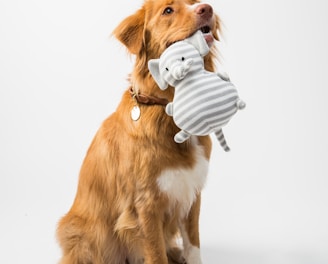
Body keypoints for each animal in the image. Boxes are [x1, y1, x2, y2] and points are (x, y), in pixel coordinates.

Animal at [56, 1, 220, 262]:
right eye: (168, 10)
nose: (207, 9)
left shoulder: (192, 192)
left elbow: (193, 245)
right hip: (82, 233)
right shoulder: (145, 205)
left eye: (195, 2)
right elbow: (156, 254)